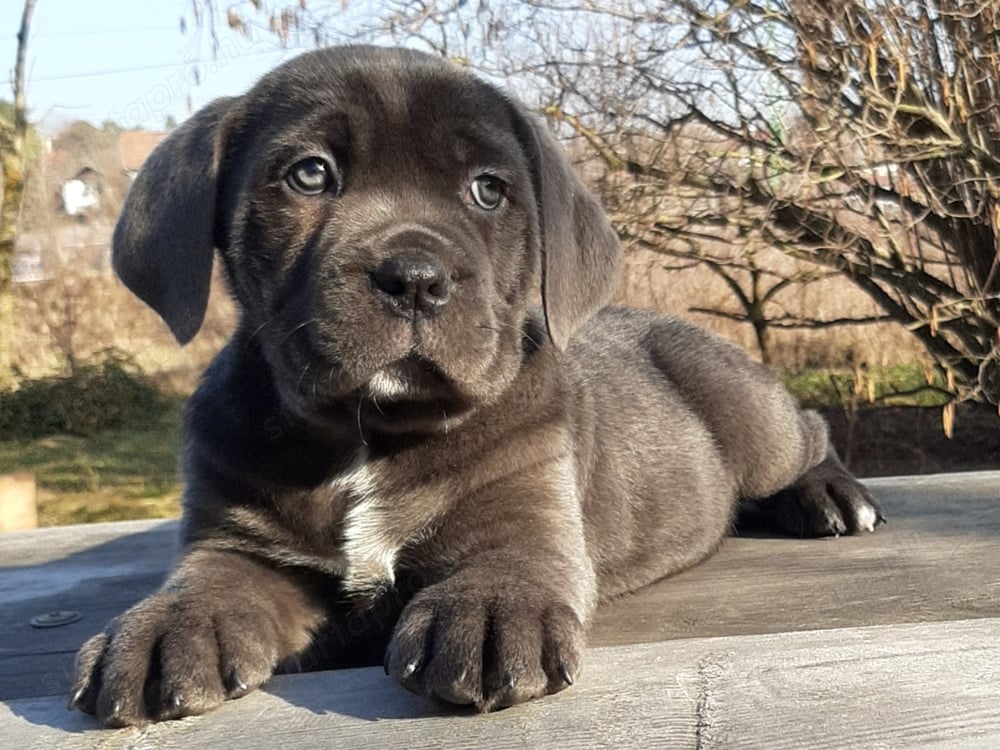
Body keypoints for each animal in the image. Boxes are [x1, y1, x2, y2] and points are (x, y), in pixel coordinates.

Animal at [70, 44, 884, 724]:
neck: (372, 432)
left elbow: (507, 563)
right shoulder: (242, 544)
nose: (414, 278)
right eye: (309, 174)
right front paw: (165, 629)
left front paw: (488, 616)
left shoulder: (525, 512)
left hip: (748, 413)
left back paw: (830, 496)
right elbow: (210, 583)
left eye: (488, 190)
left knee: (808, 429)